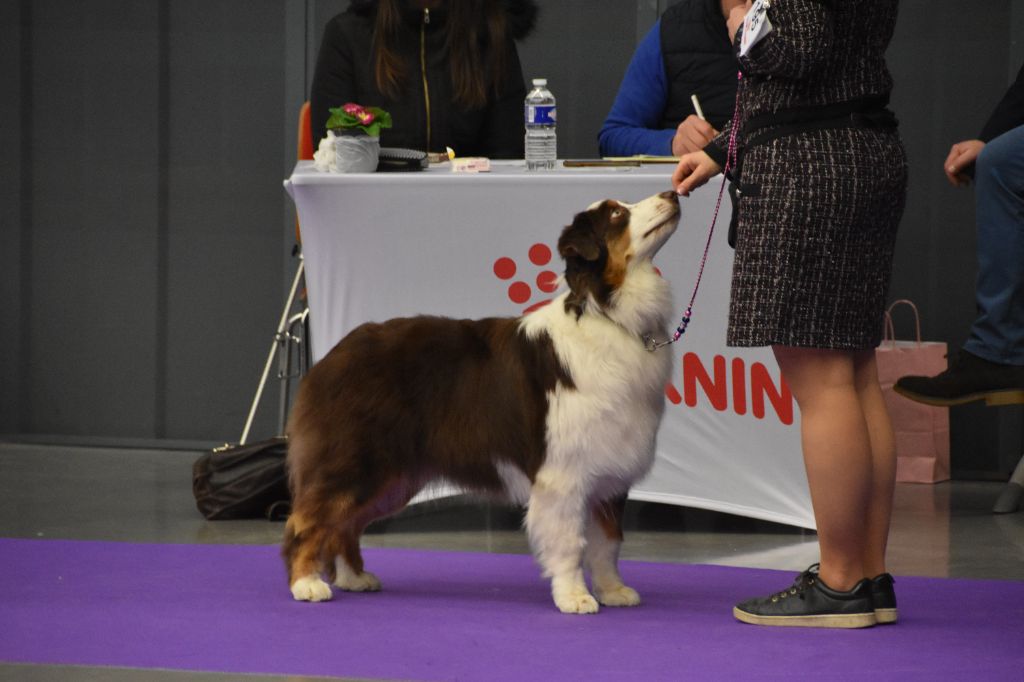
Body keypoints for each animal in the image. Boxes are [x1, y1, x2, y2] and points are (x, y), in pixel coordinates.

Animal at [282, 189, 679, 610]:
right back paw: (306, 583)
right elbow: (570, 541)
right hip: (355, 460)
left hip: (393, 477)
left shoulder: (609, 467)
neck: (608, 313)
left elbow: (608, 542)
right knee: (308, 519)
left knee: (345, 523)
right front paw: (574, 597)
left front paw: (613, 590)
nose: (672, 192)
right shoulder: (563, 471)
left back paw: (354, 577)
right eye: (618, 215)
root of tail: (334, 355)